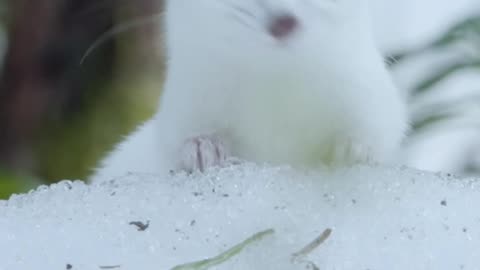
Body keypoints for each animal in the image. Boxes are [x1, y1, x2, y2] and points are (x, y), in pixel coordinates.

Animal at [91, 0, 408, 181]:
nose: (283, 21)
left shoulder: (372, 98)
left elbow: (382, 131)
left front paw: (351, 150)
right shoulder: (183, 108)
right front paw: (203, 149)